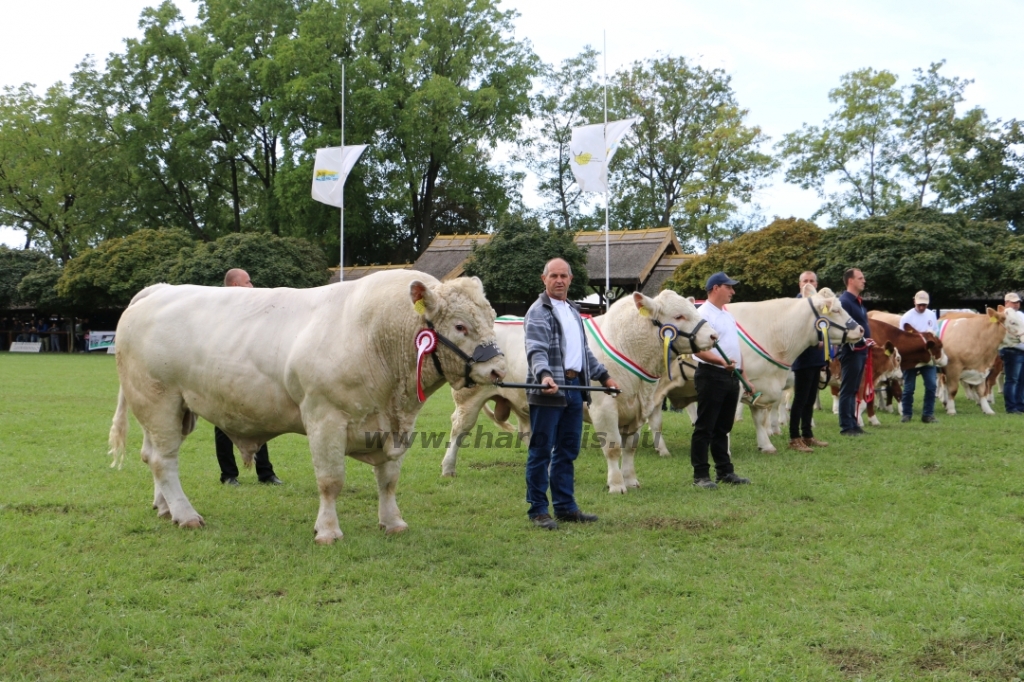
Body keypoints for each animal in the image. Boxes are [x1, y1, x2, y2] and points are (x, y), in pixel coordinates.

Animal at [109, 270, 507, 540]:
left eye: (492, 319)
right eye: (460, 326)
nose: (499, 369)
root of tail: (158, 289)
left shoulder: (393, 427)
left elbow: (389, 480)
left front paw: (392, 522)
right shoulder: (324, 418)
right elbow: (330, 480)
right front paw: (328, 531)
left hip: (172, 409)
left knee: (152, 456)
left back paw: (164, 508)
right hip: (158, 399)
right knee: (165, 460)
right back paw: (185, 514)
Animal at [440, 286, 720, 489]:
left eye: (693, 311)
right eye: (679, 316)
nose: (714, 336)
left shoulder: (638, 410)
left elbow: (630, 446)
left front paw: (631, 480)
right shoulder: (604, 408)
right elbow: (613, 447)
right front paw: (616, 484)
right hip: (468, 397)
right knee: (459, 429)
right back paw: (448, 468)